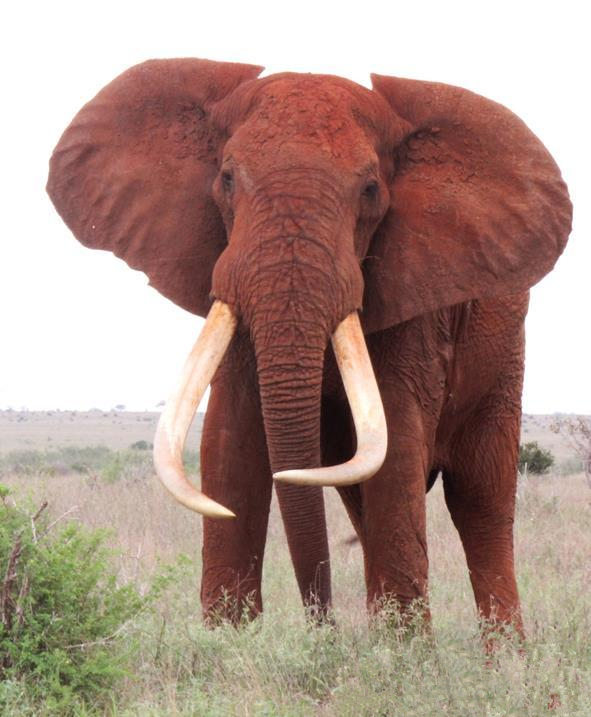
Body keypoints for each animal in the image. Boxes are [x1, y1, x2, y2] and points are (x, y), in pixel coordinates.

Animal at [47, 59, 572, 633]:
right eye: (226, 178)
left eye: (370, 189)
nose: (325, 625)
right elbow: (230, 441)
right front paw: (230, 641)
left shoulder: (416, 296)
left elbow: (397, 440)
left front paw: (401, 650)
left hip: (504, 358)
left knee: (482, 502)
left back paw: (503, 652)